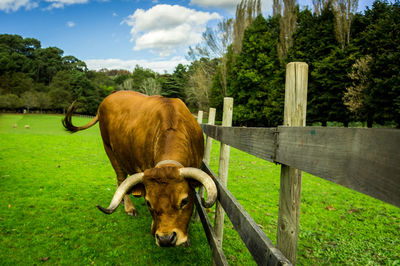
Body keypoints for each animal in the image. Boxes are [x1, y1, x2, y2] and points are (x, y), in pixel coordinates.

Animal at [63, 91, 217, 247]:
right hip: (110, 150)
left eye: (184, 201)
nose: (166, 239)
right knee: (121, 178)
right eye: (149, 203)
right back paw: (129, 207)